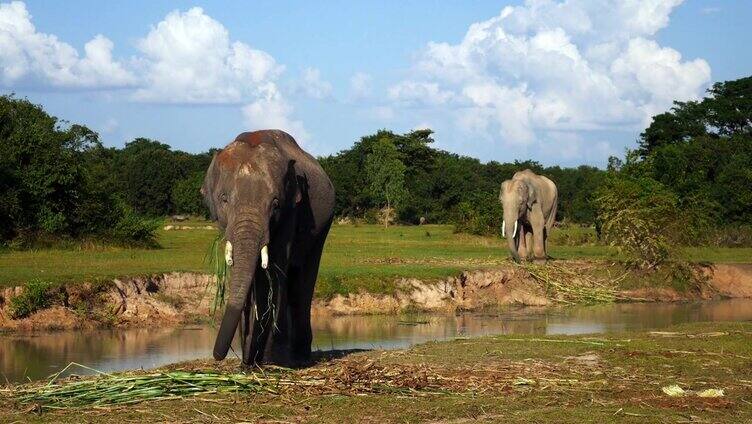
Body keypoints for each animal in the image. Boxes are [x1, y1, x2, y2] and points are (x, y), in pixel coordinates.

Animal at [204, 130, 336, 368]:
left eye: (275, 204)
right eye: (224, 199)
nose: (218, 355)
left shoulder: (292, 209)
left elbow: (273, 272)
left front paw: (267, 361)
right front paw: (248, 362)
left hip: (323, 226)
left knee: (302, 280)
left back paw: (298, 358)